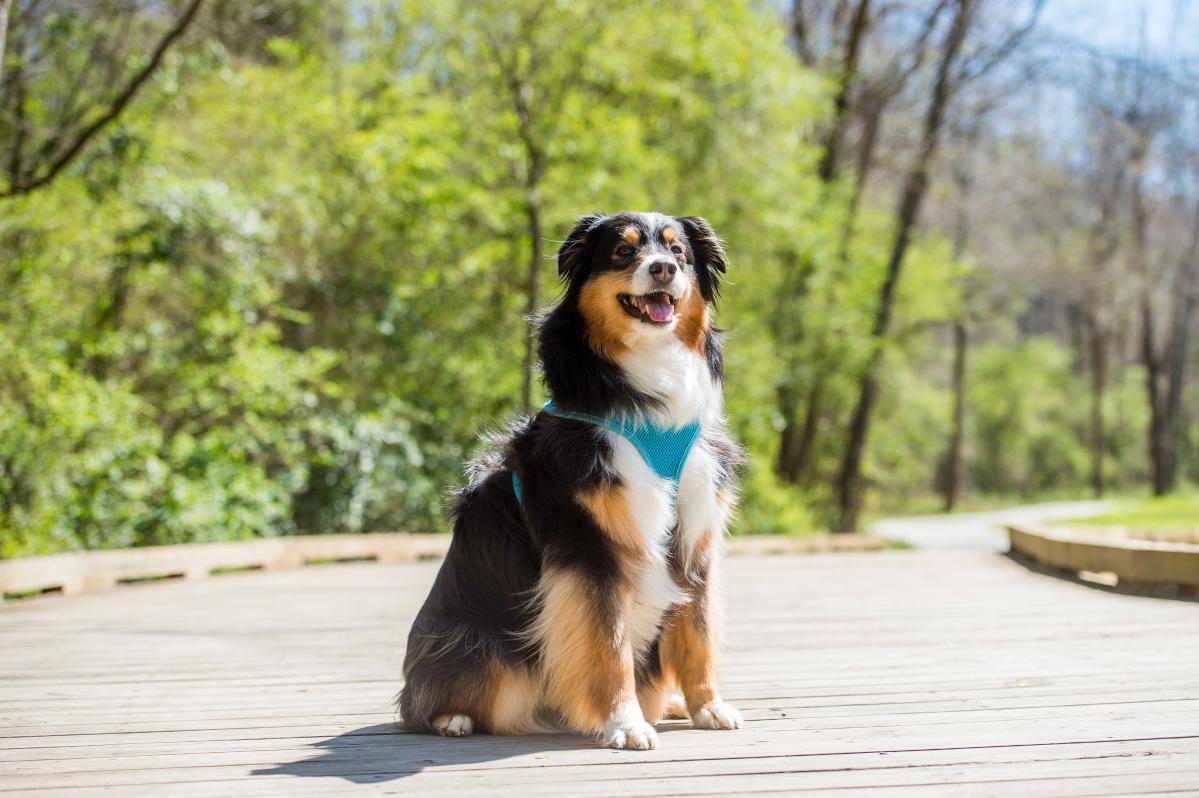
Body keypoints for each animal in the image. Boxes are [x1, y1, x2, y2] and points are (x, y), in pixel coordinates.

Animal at [398, 210, 743, 747]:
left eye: (679, 251)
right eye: (622, 252)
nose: (664, 269)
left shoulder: (695, 536)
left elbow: (698, 632)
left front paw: (708, 705)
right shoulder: (589, 546)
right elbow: (608, 643)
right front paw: (624, 723)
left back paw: (669, 704)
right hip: (469, 640)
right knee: (430, 700)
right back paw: (451, 718)